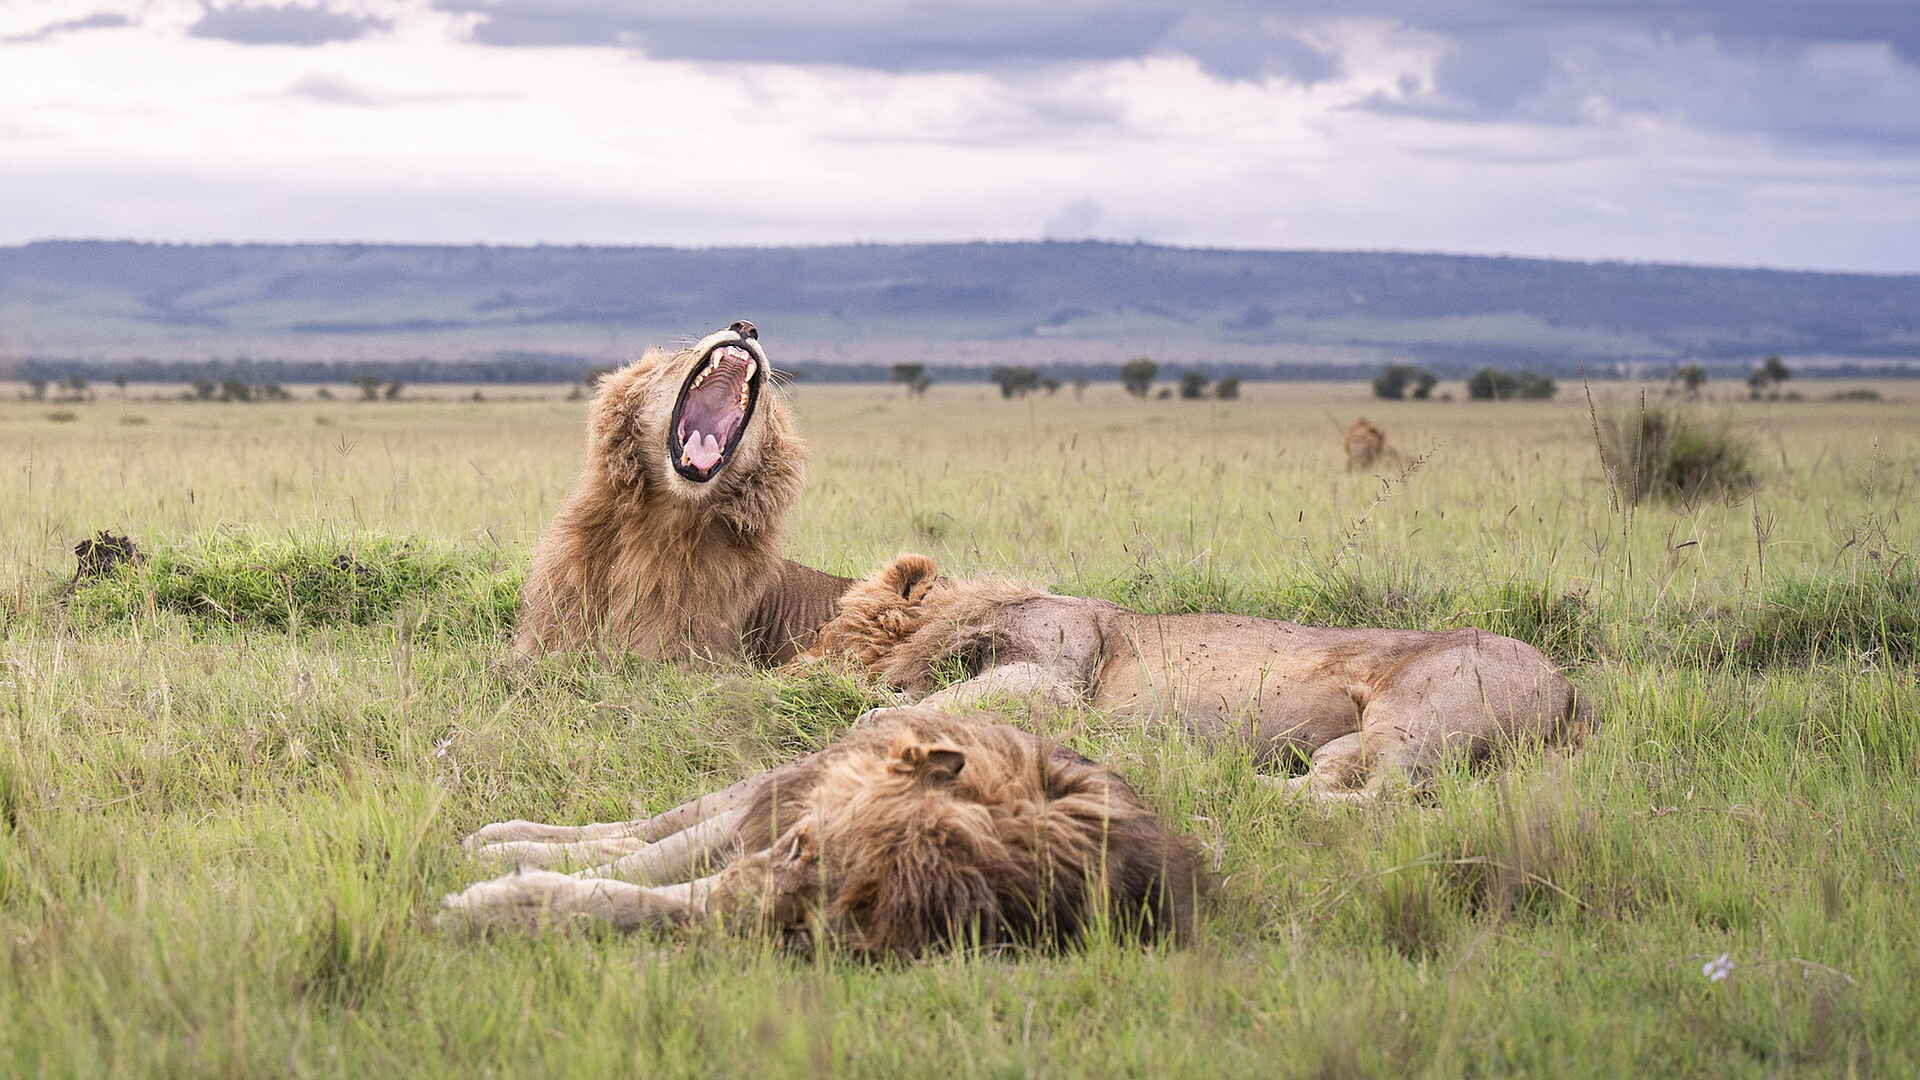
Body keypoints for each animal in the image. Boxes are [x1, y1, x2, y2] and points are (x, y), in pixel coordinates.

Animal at [441, 707, 1206, 958]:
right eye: (802, 847)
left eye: (826, 906)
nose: (736, 902)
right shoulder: (774, 820)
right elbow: (643, 868)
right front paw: (504, 876)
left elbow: (636, 899)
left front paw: (502, 901)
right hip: (772, 786)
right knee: (659, 826)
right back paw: (503, 837)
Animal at [797, 555, 1593, 801]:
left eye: (834, 636)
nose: (794, 667)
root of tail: (1571, 691)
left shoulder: (1058, 673)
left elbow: (923, 703)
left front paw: (874, 715)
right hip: (1362, 737)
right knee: (1335, 777)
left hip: (1415, 714)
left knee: (1380, 799)